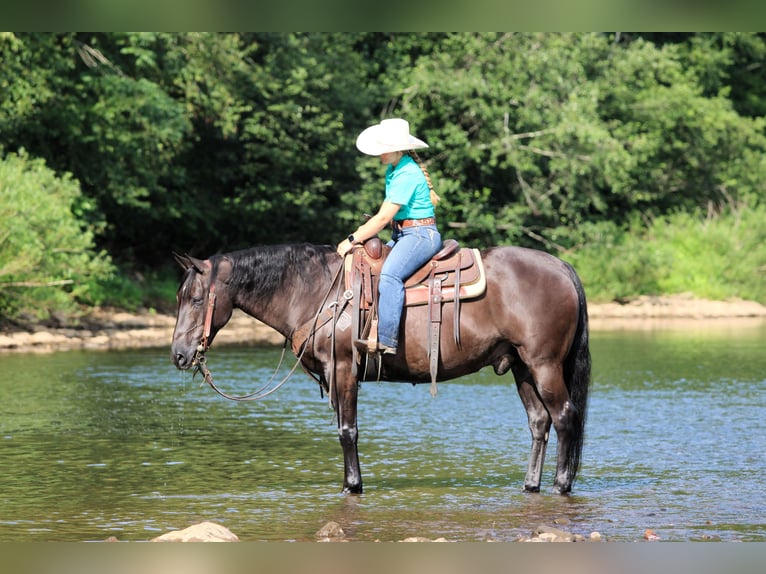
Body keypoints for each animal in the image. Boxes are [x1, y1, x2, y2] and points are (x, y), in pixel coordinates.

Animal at [170, 242, 591, 494]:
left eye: (196, 298)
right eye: (179, 297)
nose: (178, 355)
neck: (316, 291)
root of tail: (562, 267)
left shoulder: (342, 369)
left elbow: (347, 431)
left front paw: (352, 485)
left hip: (544, 365)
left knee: (564, 417)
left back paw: (561, 485)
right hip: (521, 367)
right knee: (539, 422)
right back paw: (531, 485)